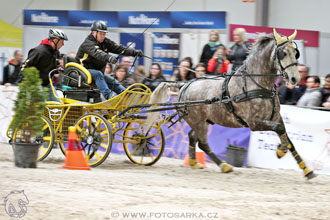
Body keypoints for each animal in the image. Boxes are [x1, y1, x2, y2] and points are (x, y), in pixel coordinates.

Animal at [148, 29, 316, 180]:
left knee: (193, 137)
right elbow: (280, 130)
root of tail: (184, 85)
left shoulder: (275, 117)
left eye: (295, 52)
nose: (295, 79)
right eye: (283, 53)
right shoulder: (254, 122)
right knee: (202, 143)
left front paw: (306, 170)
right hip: (198, 122)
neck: (256, 85)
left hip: (204, 121)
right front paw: (280, 151)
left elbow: (287, 137)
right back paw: (224, 166)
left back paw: (196, 163)